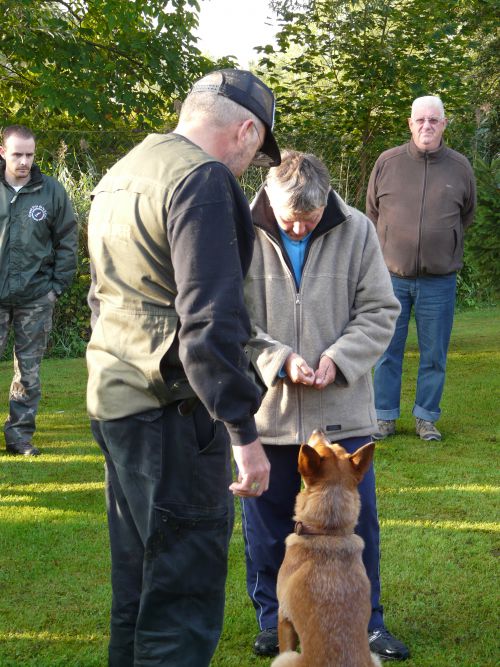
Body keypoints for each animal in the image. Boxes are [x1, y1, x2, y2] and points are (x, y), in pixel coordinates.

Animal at [272, 430, 380, 664]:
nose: (319, 429)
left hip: (284, 660)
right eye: (338, 447)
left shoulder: (283, 615)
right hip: (376, 658)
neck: (328, 531)